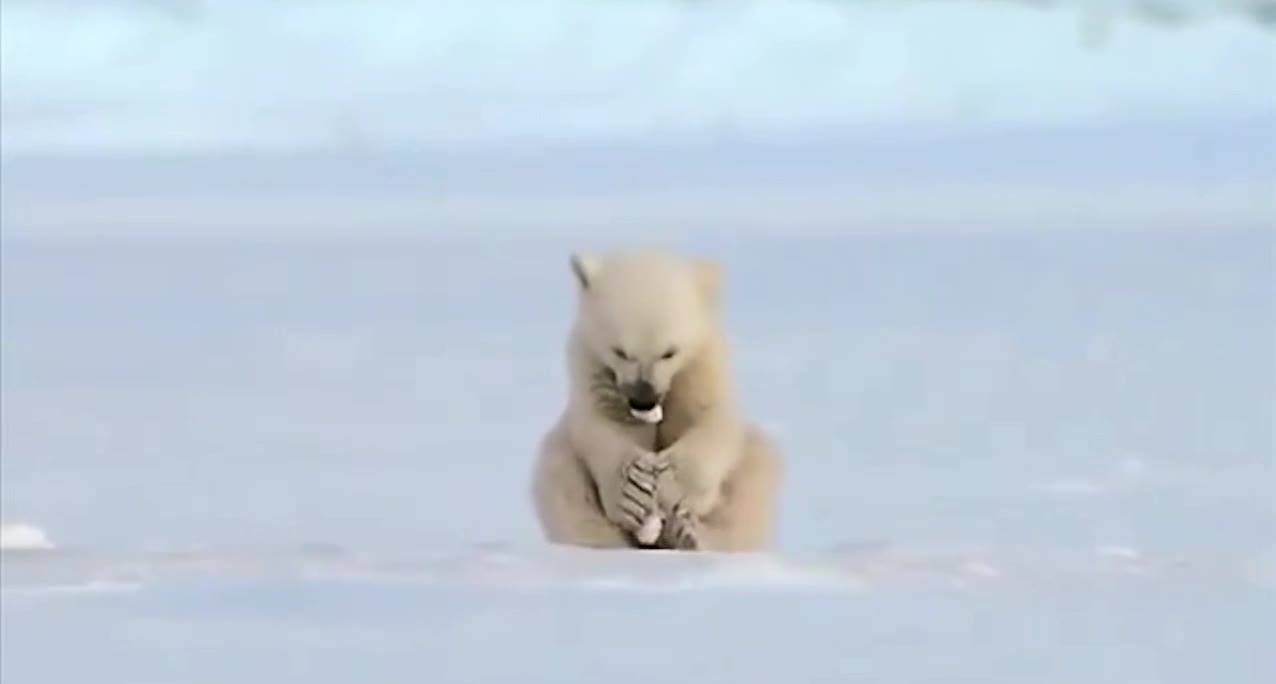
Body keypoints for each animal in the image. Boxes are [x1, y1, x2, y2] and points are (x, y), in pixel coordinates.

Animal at [525, 248, 780, 553]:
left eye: (669, 352)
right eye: (621, 351)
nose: (643, 400)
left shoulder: (702, 366)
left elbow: (711, 419)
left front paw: (671, 483)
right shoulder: (592, 365)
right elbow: (602, 423)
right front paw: (632, 491)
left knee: (754, 479)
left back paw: (691, 535)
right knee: (561, 477)